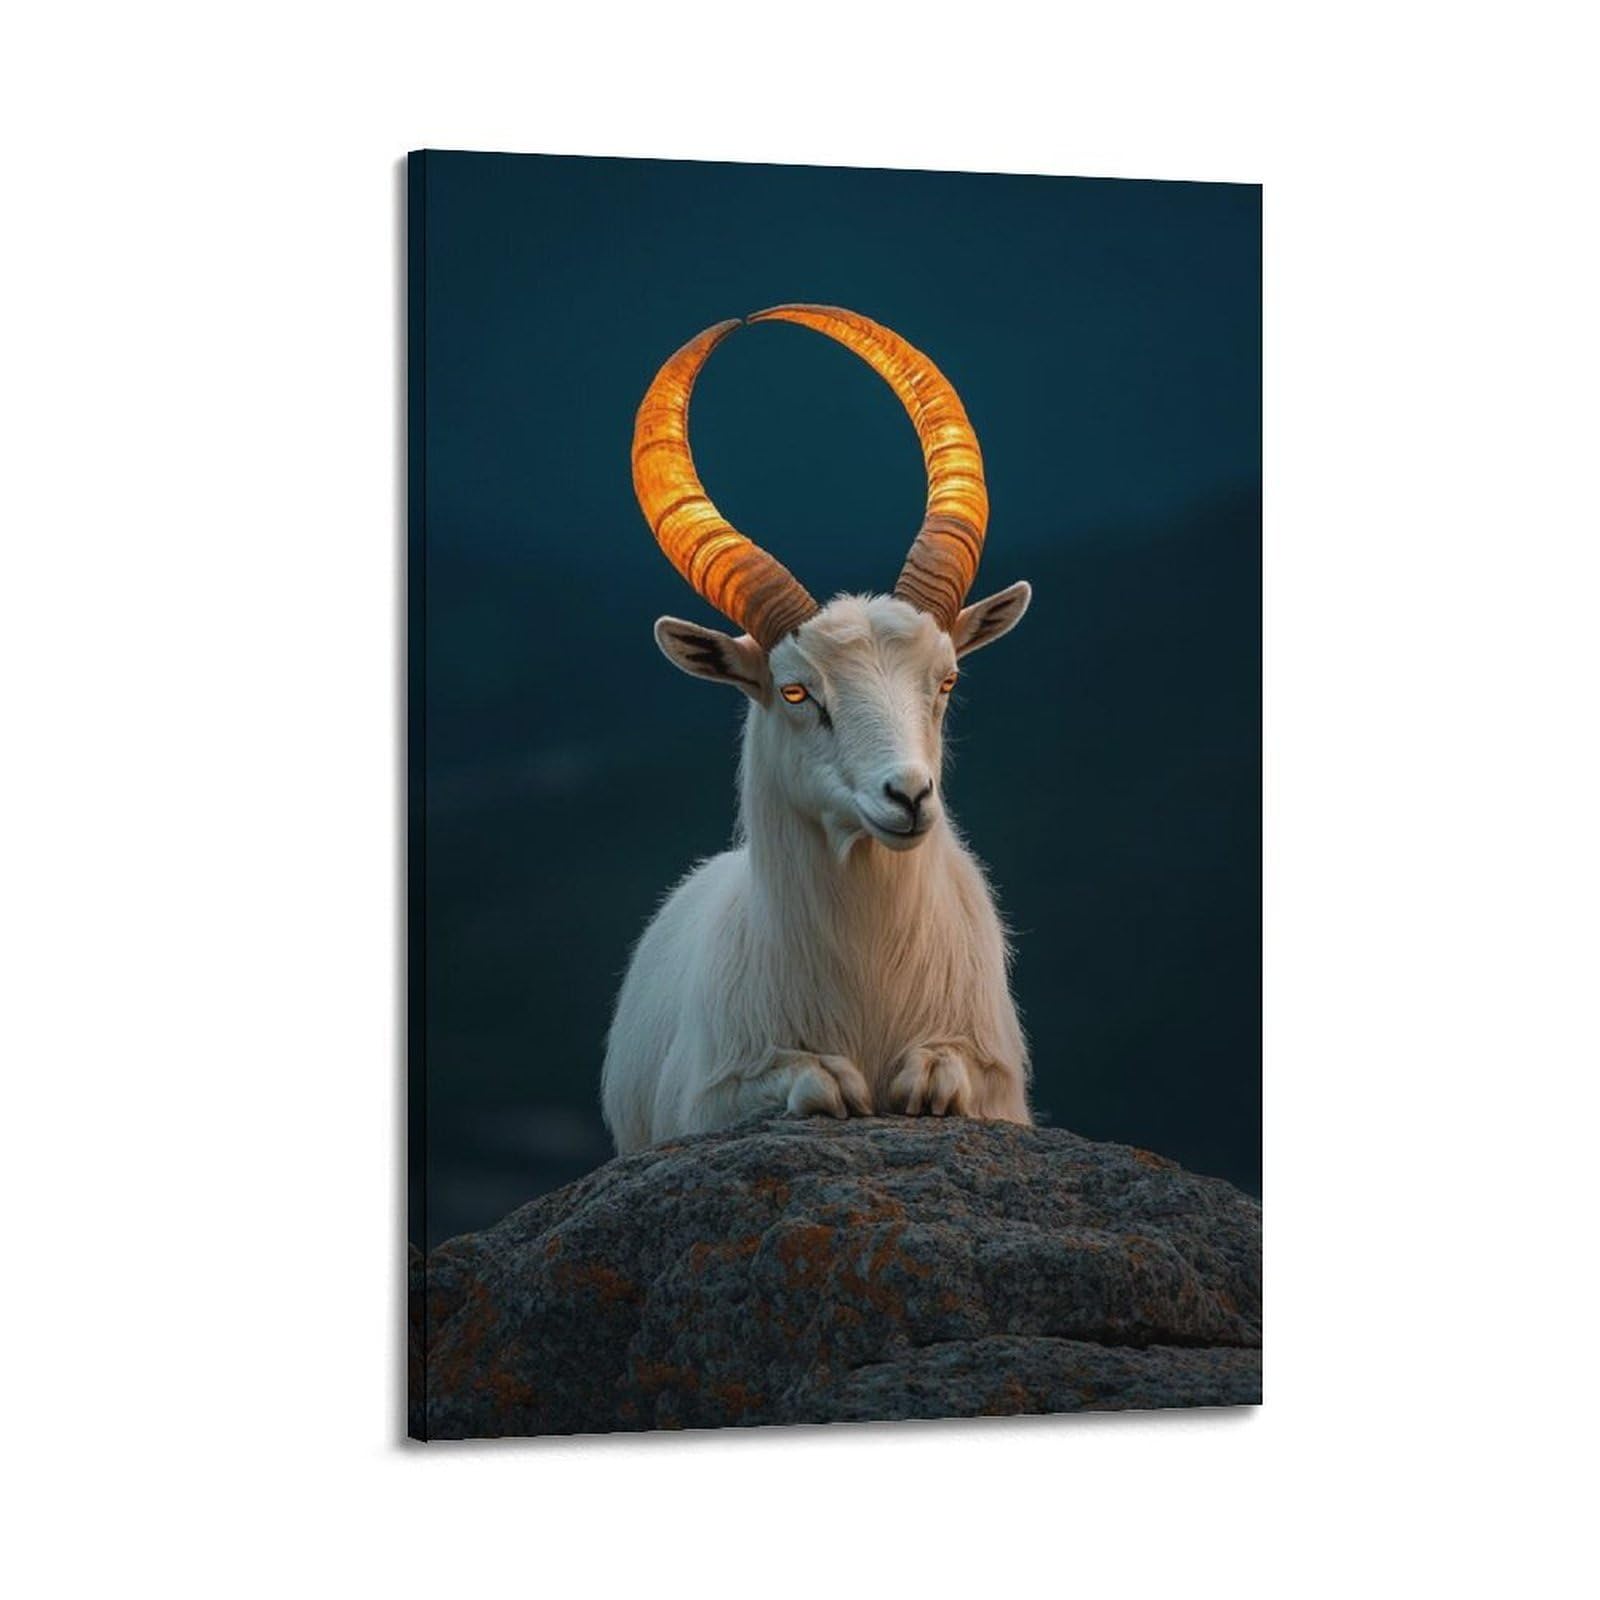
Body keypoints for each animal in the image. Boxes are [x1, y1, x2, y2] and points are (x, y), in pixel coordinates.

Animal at [601, 304, 1034, 1152]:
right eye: (798, 692)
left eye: (946, 680)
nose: (908, 796)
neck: (869, 973)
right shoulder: (702, 1100)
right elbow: (807, 1084)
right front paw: (835, 1082)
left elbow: (949, 1075)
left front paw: (923, 1077)